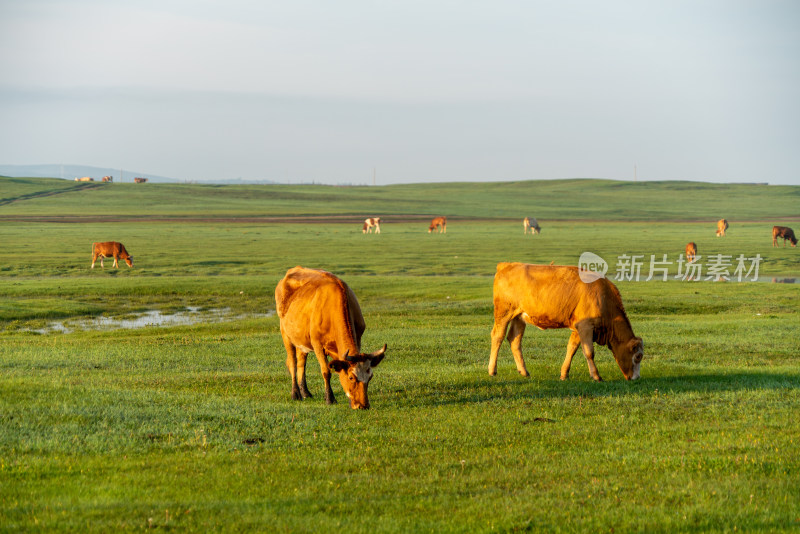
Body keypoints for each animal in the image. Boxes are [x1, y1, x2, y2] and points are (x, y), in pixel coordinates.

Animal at [276, 266, 388, 410]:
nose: (363, 406)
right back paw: (295, 394)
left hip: (301, 340)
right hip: (286, 335)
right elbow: (326, 371)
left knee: (301, 363)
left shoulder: (358, 338)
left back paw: (305, 392)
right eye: (351, 377)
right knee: (293, 363)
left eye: (370, 377)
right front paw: (330, 398)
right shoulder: (317, 345)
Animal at [488, 262, 644, 382]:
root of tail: (508, 265)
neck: (603, 297)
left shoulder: (577, 327)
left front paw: (564, 374)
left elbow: (572, 349)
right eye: (637, 356)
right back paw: (492, 370)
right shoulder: (585, 326)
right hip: (504, 313)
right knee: (498, 336)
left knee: (514, 339)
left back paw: (524, 371)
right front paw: (596, 376)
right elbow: (589, 352)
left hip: (519, 317)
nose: (635, 378)